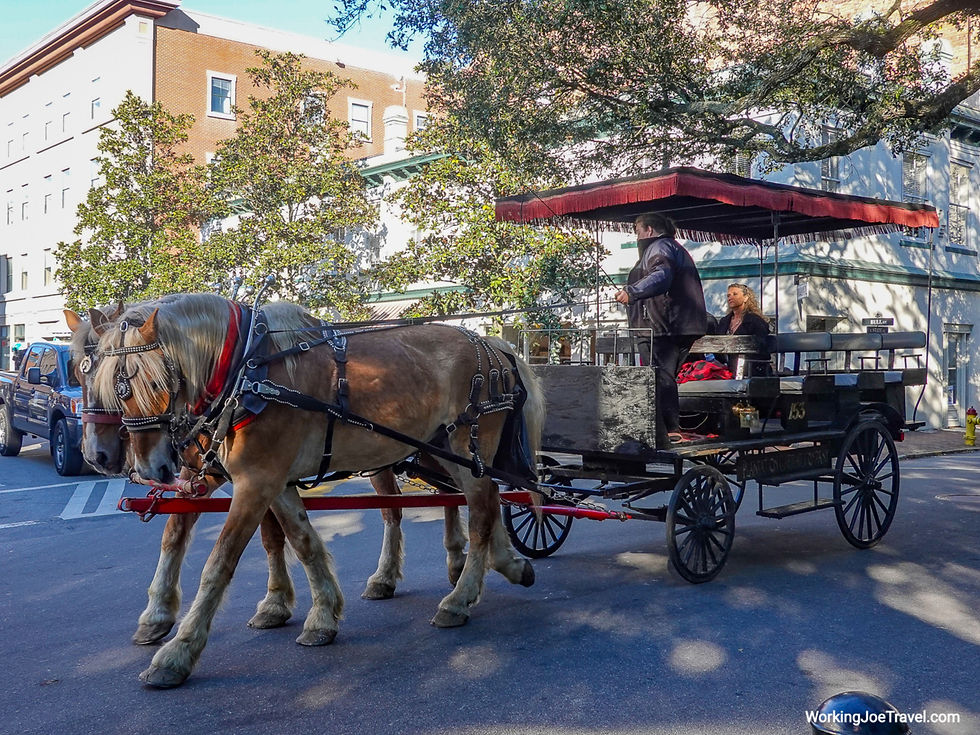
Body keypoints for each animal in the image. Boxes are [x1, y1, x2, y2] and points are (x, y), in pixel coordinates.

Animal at [88, 292, 544, 687]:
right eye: (94, 380)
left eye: (150, 383)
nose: (144, 467)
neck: (248, 372)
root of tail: (490, 342)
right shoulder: (271, 482)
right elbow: (301, 541)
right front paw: (322, 614)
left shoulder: (256, 482)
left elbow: (219, 563)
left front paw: (177, 653)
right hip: (440, 451)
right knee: (483, 500)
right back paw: (505, 565)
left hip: (466, 446)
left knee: (481, 507)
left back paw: (459, 598)